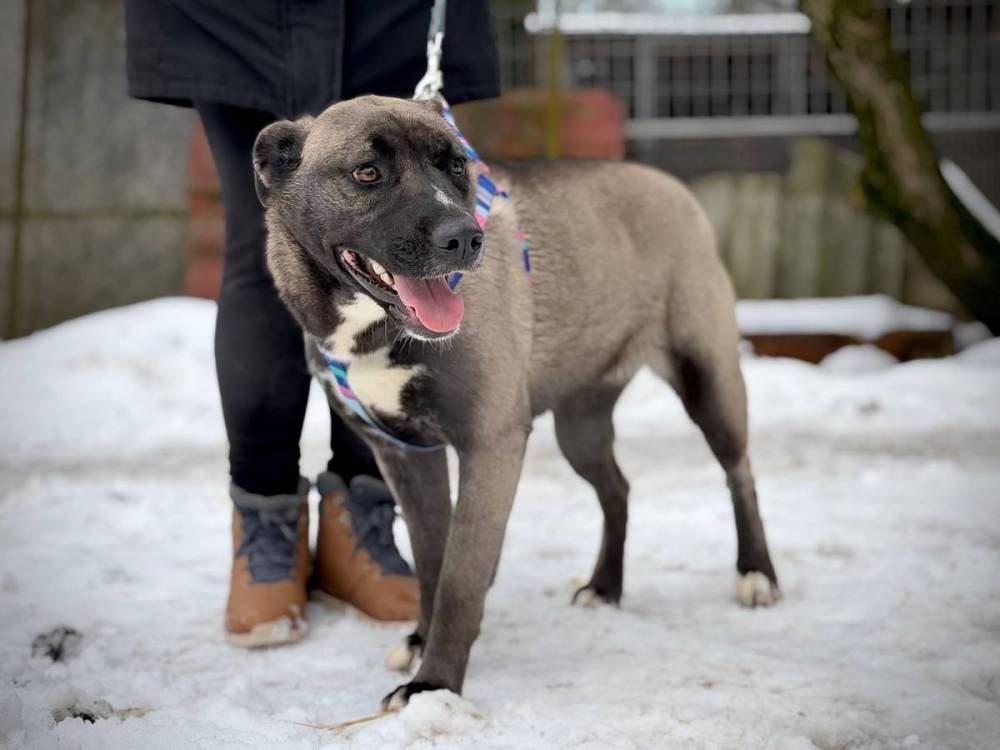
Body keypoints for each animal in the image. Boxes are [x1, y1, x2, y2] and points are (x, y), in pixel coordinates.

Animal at [252, 95, 779, 709]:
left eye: (456, 165)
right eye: (367, 173)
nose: (464, 239)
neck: (377, 329)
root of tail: (670, 184)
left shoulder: (491, 446)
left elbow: (460, 574)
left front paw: (435, 685)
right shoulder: (406, 455)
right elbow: (431, 560)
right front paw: (421, 641)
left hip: (709, 383)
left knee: (740, 474)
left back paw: (756, 574)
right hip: (580, 427)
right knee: (618, 490)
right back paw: (605, 585)